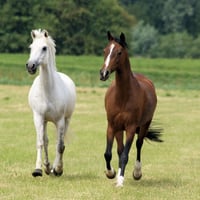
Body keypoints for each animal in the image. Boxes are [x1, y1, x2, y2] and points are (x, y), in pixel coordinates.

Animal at [26, 29, 76, 177]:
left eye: (44, 48)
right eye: (31, 47)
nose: (30, 66)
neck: (48, 90)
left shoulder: (60, 121)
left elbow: (60, 145)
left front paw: (58, 169)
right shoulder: (38, 117)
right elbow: (41, 142)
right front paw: (38, 169)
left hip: (67, 120)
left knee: (61, 143)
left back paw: (55, 168)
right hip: (45, 121)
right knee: (46, 141)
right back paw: (47, 167)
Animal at [100, 30, 162, 186]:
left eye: (119, 52)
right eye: (105, 50)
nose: (103, 73)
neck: (122, 96)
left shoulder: (131, 128)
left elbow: (125, 155)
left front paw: (120, 181)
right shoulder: (112, 126)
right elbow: (108, 153)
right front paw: (111, 173)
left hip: (145, 124)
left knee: (139, 144)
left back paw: (137, 173)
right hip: (119, 129)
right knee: (119, 149)